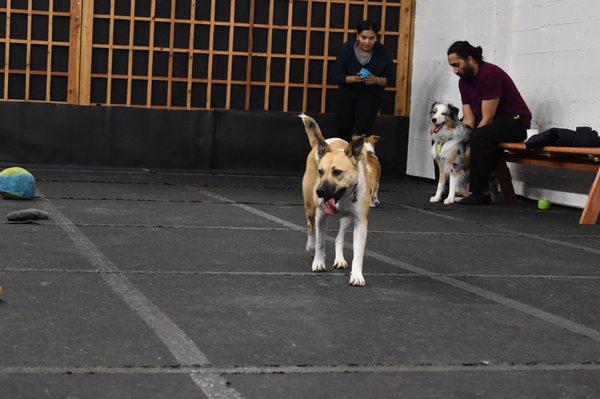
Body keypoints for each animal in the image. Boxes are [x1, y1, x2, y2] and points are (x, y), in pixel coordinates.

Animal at [298, 114, 380, 286]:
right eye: (320, 172)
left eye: (337, 172)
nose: (320, 191)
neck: (344, 195)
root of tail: (320, 143)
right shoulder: (321, 215)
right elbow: (321, 242)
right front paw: (318, 262)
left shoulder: (360, 222)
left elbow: (358, 252)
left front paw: (357, 275)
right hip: (310, 208)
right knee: (311, 227)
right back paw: (311, 247)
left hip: (347, 218)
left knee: (338, 238)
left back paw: (340, 260)